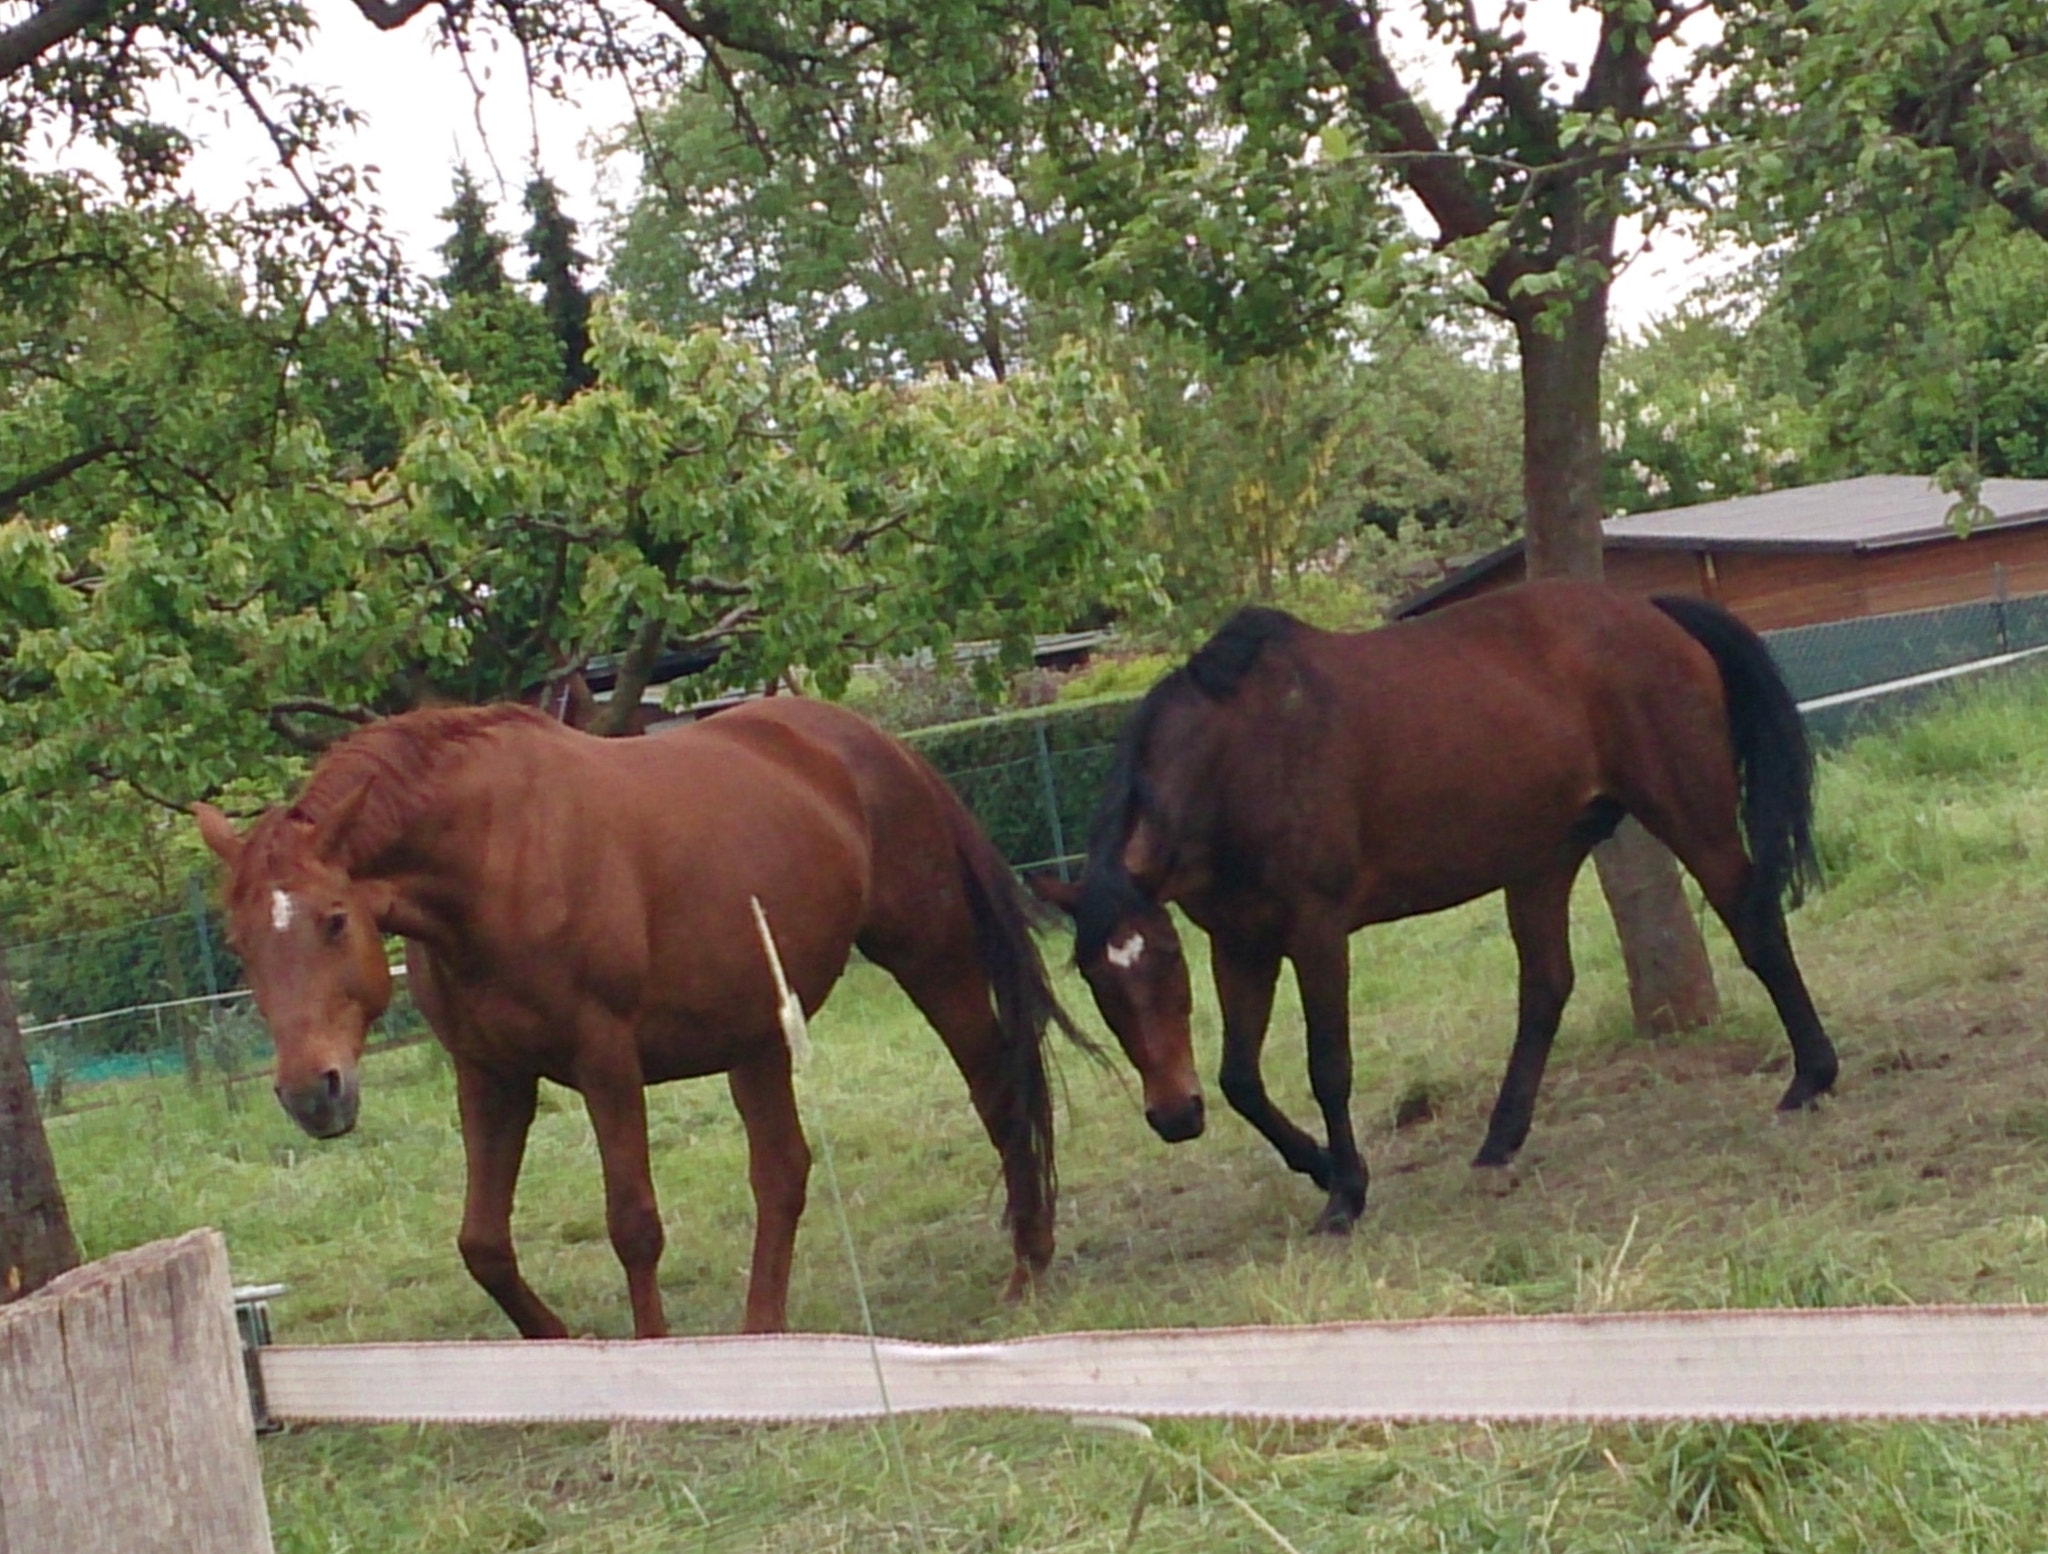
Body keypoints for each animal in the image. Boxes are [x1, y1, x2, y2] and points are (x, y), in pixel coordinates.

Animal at [194, 696, 1088, 1337]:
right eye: (240, 943)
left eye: (333, 919)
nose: (312, 1092)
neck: (496, 856)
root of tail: (883, 748)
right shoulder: (492, 1075)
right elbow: (482, 1243)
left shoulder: (605, 1061)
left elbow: (632, 1223)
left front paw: (650, 1361)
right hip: (757, 1034)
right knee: (783, 1170)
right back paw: (764, 1332)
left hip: (931, 961)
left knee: (1000, 1096)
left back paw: (1027, 1267)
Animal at [1030, 579, 1839, 1234]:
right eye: (1096, 980)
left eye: (1166, 960)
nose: (1173, 1115)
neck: (1236, 757)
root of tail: (1651, 610)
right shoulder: (1241, 943)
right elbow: (1240, 1078)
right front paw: (1320, 1165)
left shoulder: (1316, 932)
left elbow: (1329, 1064)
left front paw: (1346, 1193)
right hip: (1542, 858)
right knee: (1545, 988)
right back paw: (1499, 1141)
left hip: (1687, 812)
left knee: (1753, 922)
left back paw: (1812, 1076)